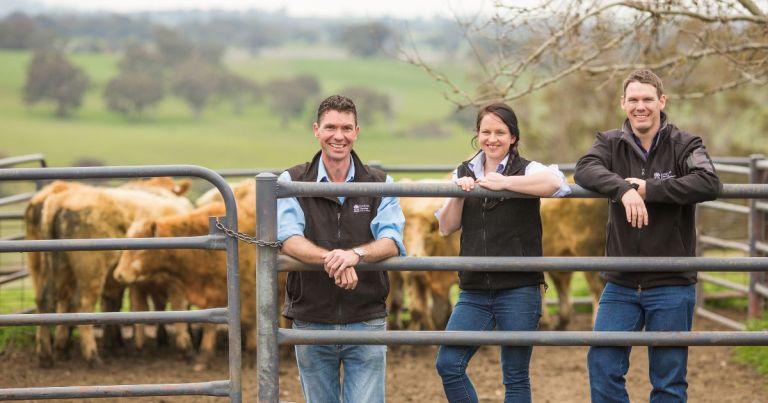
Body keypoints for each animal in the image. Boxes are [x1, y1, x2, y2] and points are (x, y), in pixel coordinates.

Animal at [30, 178, 195, 368]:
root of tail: (60, 200)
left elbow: (117, 304)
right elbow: (178, 306)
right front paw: (186, 347)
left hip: (56, 267)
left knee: (46, 299)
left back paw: (48, 354)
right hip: (92, 270)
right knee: (82, 304)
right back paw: (92, 356)